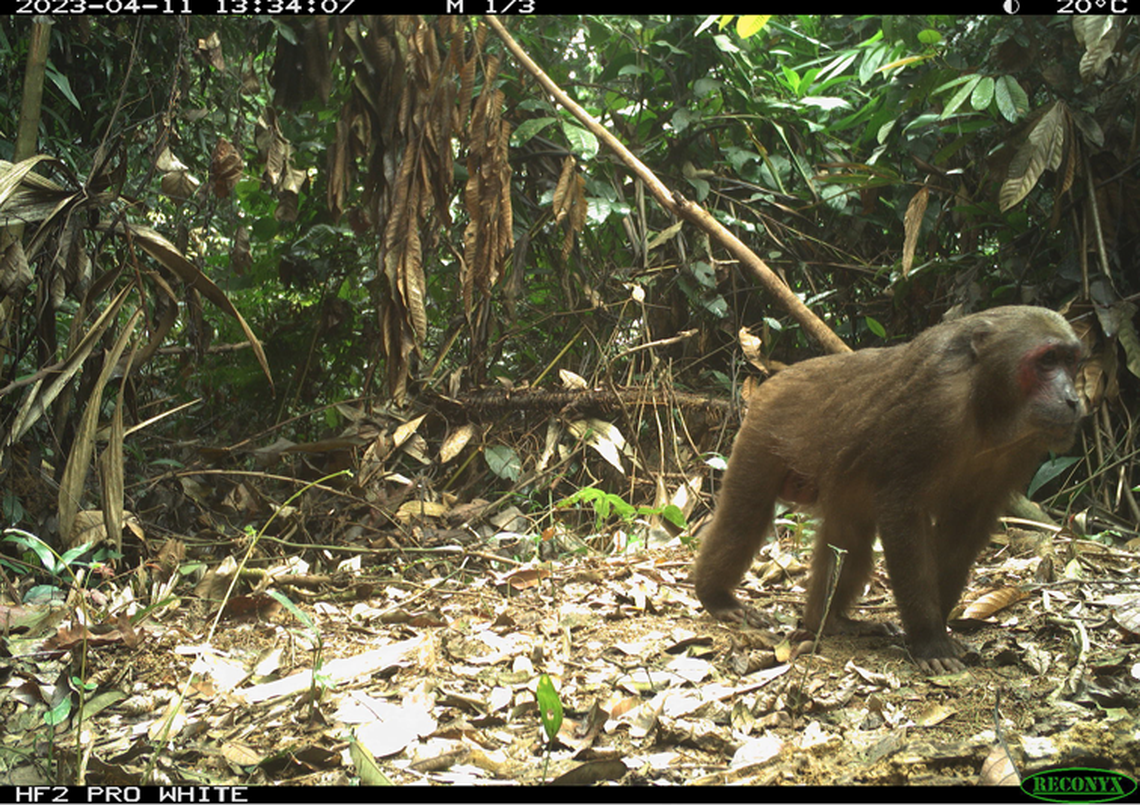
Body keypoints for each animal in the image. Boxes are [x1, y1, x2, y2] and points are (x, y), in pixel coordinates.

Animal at [693, 306, 1085, 674]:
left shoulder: (1023, 446)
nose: (1073, 400)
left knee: (849, 541)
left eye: (1071, 361)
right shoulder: (932, 406)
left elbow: (964, 528)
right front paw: (929, 640)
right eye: (1047, 360)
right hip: (764, 431)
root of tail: (776, 378)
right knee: (745, 516)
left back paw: (830, 622)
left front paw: (938, 627)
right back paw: (717, 597)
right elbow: (902, 510)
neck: (984, 405)